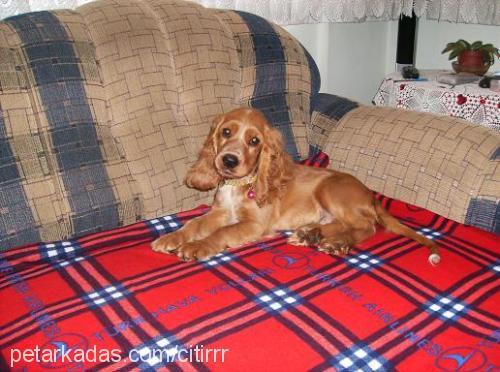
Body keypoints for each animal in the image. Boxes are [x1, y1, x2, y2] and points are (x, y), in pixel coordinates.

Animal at [150, 107, 440, 264]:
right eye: (226, 132)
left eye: (254, 141)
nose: (229, 161)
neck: (241, 184)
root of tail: (370, 195)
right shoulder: (219, 212)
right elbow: (194, 224)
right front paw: (171, 238)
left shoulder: (254, 224)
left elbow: (222, 233)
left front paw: (196, 247)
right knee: (341, 224)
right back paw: (310, 235)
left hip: (330, 190)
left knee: (367, 227)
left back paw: (334, 243)